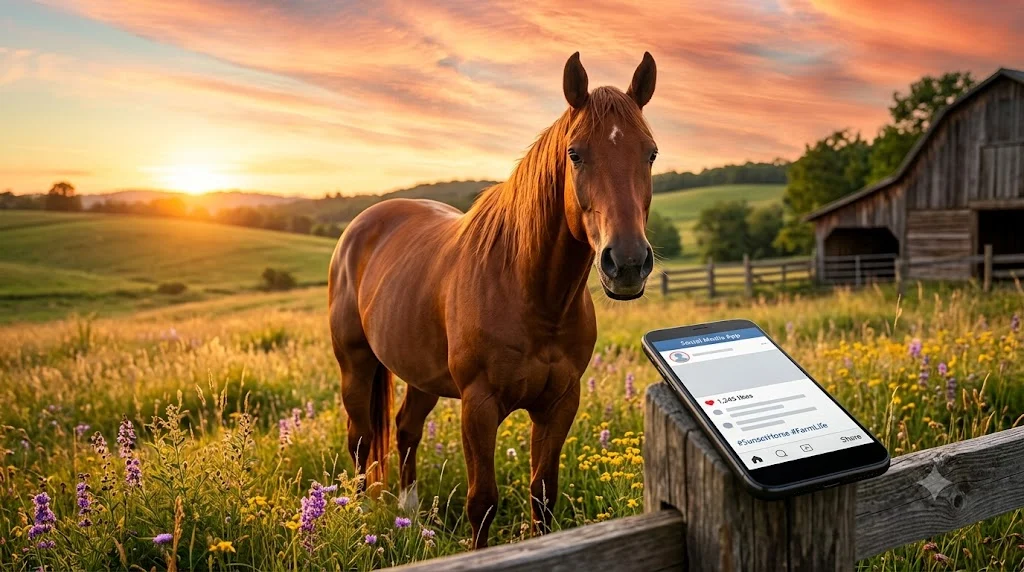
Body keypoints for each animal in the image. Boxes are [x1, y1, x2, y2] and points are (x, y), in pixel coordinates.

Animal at [328, 51, 658, 548]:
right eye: (575, 153)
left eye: (650, 153)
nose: (629, 262)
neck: (531, 295)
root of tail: (363, 223)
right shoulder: (479, 406)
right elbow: (482, 502)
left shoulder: (560, 403)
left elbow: (543, 494)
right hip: (356, 365)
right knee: (362, 439)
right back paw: (364, 516)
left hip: (422, 375)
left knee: (406, 429)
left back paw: (411, 515)